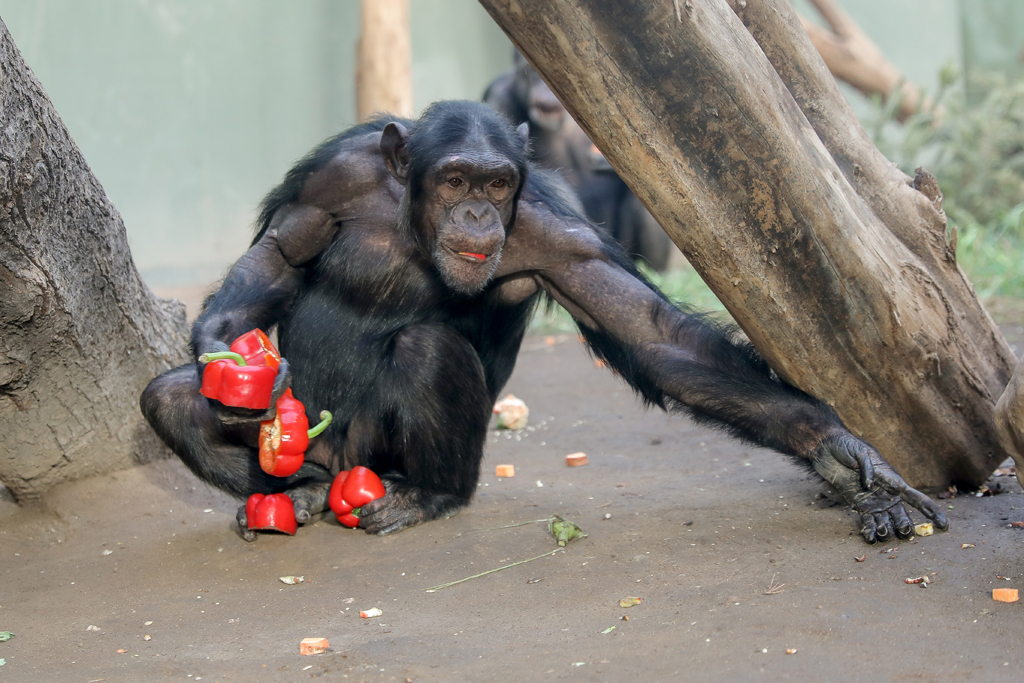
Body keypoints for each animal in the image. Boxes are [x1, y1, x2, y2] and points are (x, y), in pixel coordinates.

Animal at [140, 98, 946, 540]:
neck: (409, 221)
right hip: (313, 435)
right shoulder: (332, 178)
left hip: (374, 457)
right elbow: (282, 251)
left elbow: (653, 332)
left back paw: (425, 496)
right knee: (170, 398)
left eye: (497, 185)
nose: (476, 212)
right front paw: (221, 352)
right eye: (455, 179)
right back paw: (290, 493)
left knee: (428, 350)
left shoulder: (558, 238)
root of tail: (341, 468)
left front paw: (841, 450)